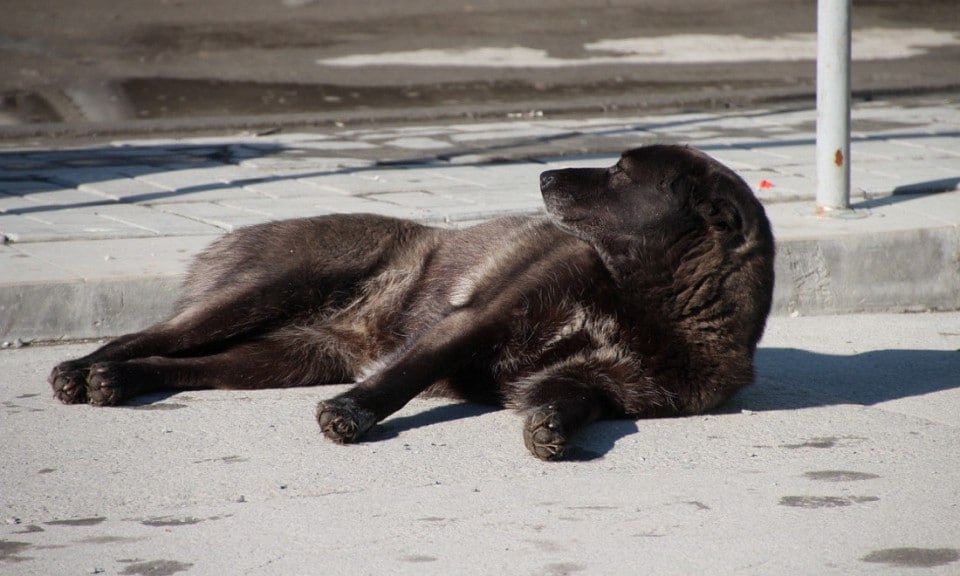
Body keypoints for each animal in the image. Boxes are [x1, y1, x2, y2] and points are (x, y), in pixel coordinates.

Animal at [48, 144, 776, 460]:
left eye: (622, 175)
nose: (542, 173)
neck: (644, 296)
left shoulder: (602, 385)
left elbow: (572, 402)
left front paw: (550, 429)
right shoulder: (480, 317)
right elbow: (406, 375)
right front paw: (351, 415)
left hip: (277, 358)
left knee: (184, 364)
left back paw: (115, 381)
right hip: (260, 294)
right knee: (149, 334)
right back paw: (82, 371)